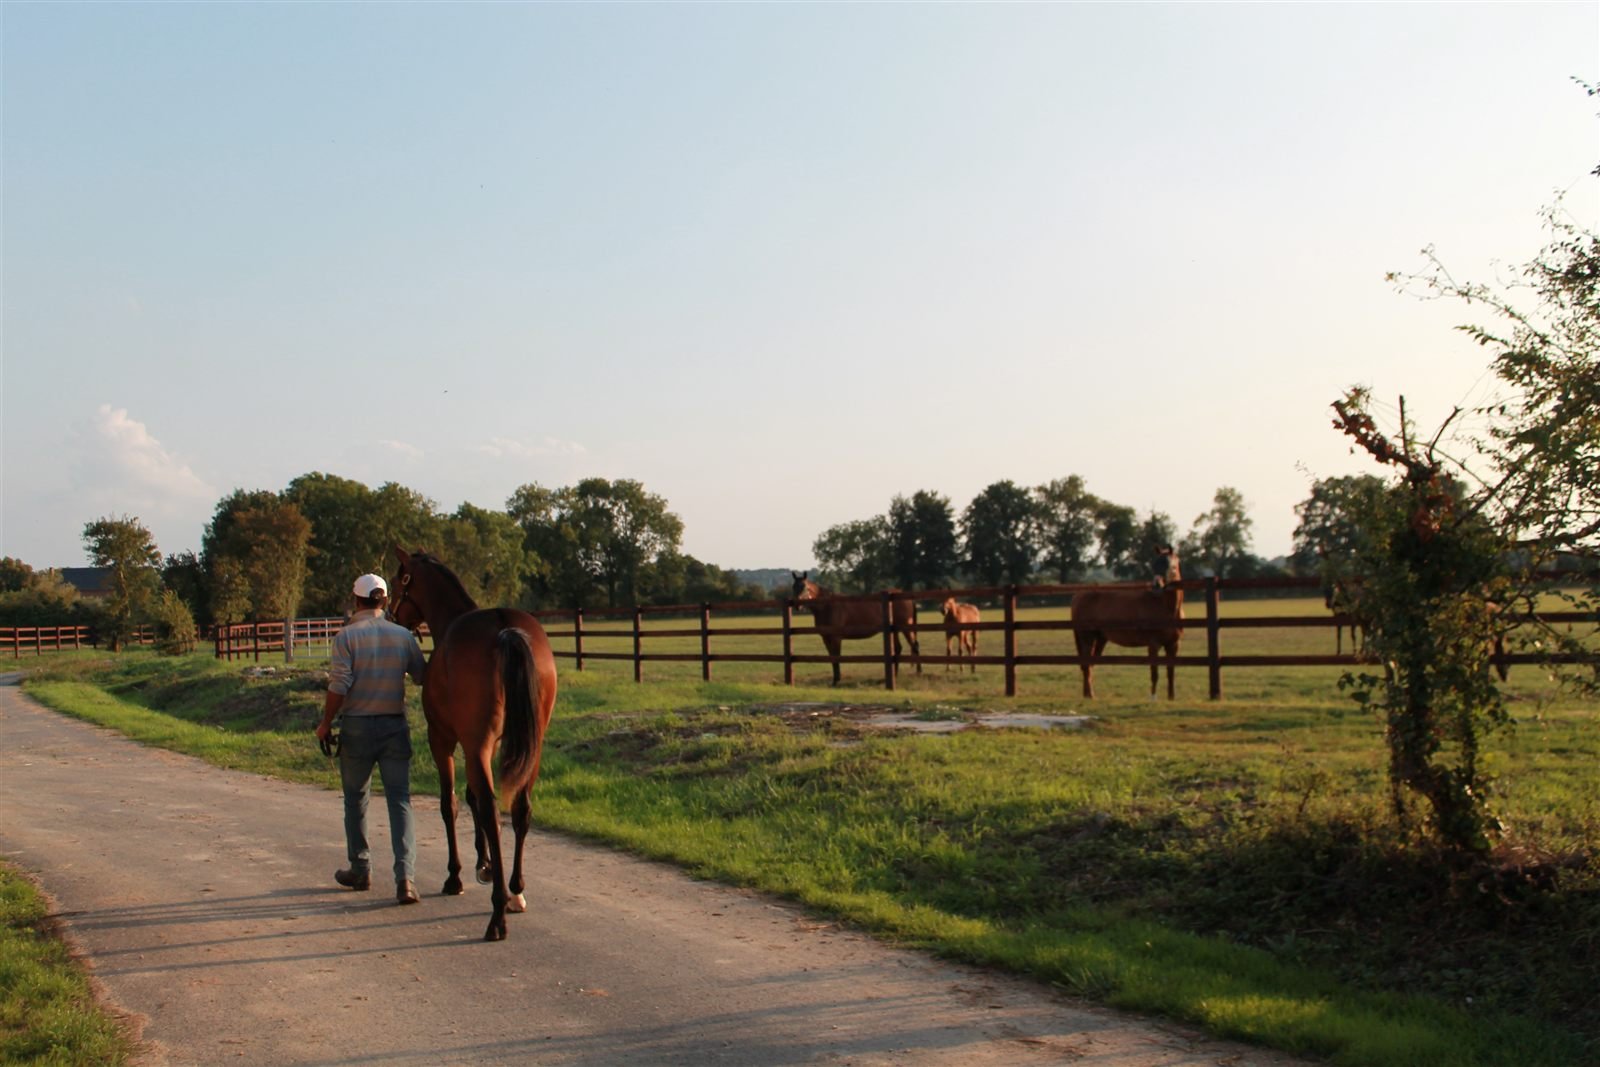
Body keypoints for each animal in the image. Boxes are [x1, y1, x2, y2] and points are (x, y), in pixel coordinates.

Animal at [387, 547, 558, 942]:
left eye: (397, 580)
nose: (390, 615)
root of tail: (504, 628)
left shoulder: (445, 740)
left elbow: (451, 803)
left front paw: (457, 875)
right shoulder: (485, 744)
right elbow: (473, 798)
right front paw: (486, 865)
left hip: (473, 742)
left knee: (494, 812)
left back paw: (497, 915)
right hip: (532, 746)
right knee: (521, 810)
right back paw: (516, 891)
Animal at [791, 572, 920, 686]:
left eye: (805, 587)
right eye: (794, 587)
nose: (797, 605)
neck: (827, 606)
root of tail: (906, 597)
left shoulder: (836, 638)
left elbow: (836, 658)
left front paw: (836, 681)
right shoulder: (826, 638)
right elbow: (832, 658)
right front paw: (834, 680)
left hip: (905, 627)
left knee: (914, 645)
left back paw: (919, 673)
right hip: (895, 631)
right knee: (898, 648)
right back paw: (894, 675)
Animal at [1070, 546, 1185, 700]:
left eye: (1168, 564)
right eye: (1154, 564)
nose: (1156, 586)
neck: (1168, 608)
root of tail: (1078, 595)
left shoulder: (1173, 645)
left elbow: (1170, 672)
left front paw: (1171, 698)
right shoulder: (1153, 645)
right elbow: (1154, 673)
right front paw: (1153, 698)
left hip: (1100, 639)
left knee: (1089, 665)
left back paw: (1088, 694)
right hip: (1087, 638)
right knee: (1086, 665)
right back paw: (1090, 695)